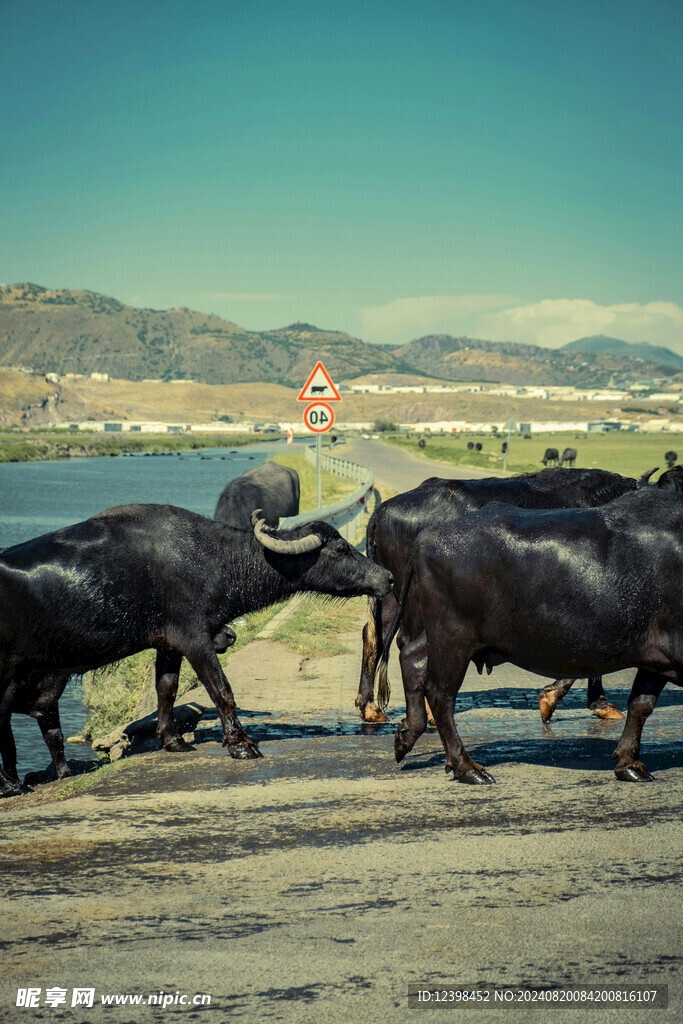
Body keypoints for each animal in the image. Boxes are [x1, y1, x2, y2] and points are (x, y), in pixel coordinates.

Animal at [0, 507, 393, 794]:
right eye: (340, 549)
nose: (387, 577)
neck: (212, 559)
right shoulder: (196, 640)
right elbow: (221, 690)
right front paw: (241, 745)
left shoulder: (168, 644)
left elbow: (167, 689)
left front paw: (173, 740)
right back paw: (12, 785)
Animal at [356, 468, 651, 724]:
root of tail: (382, 512)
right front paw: (579, 701)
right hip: (415, 601)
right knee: (407, 644)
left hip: (390, 594)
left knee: (374, 635)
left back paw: (370, 707)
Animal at [382, 487, 683, 782]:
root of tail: (427, 537)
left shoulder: (654, 659)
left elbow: (640, 705)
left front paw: (629, 763)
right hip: (453, 635)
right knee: (441, 694)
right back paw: (466, 767)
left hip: (447, 634)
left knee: (412, 657)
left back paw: (406, 736)